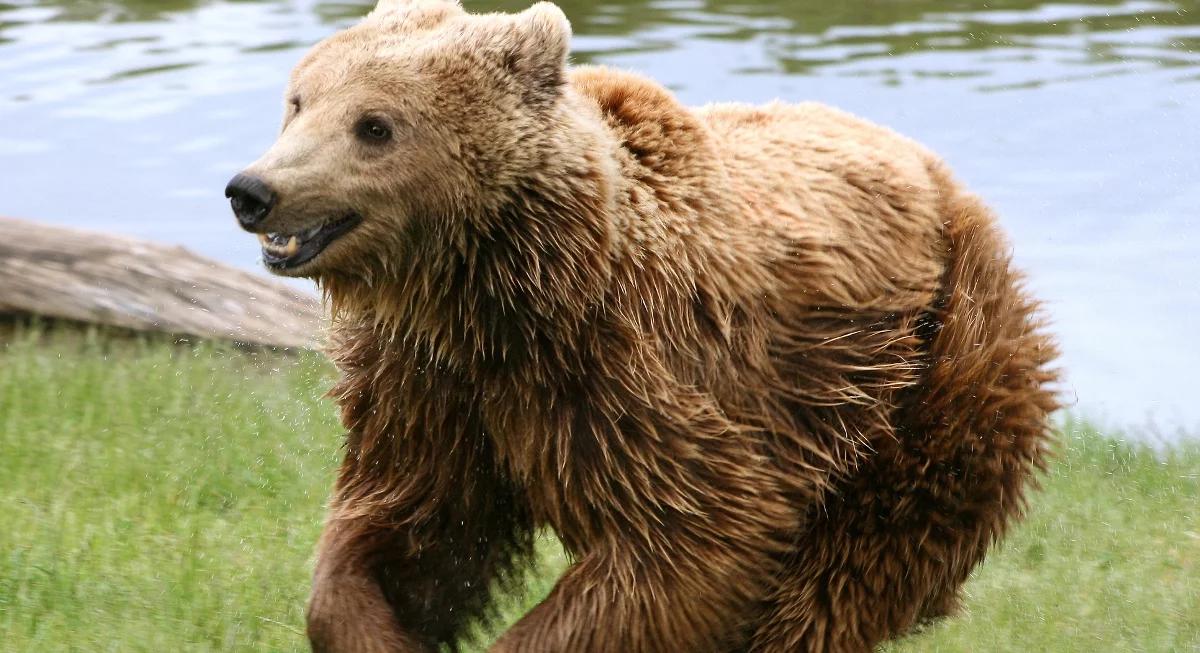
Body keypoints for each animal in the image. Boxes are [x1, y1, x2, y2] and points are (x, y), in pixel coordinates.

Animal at [225, 1, 1060, 653]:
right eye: (299, 100)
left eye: (374, 125)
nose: (253, 190)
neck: (491, 287)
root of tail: (936, 171)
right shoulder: (431, 385)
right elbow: (414, 526)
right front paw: (376, 623)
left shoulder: (630, 373)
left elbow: (686, 543)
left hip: (923, 373)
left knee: (844, 574)